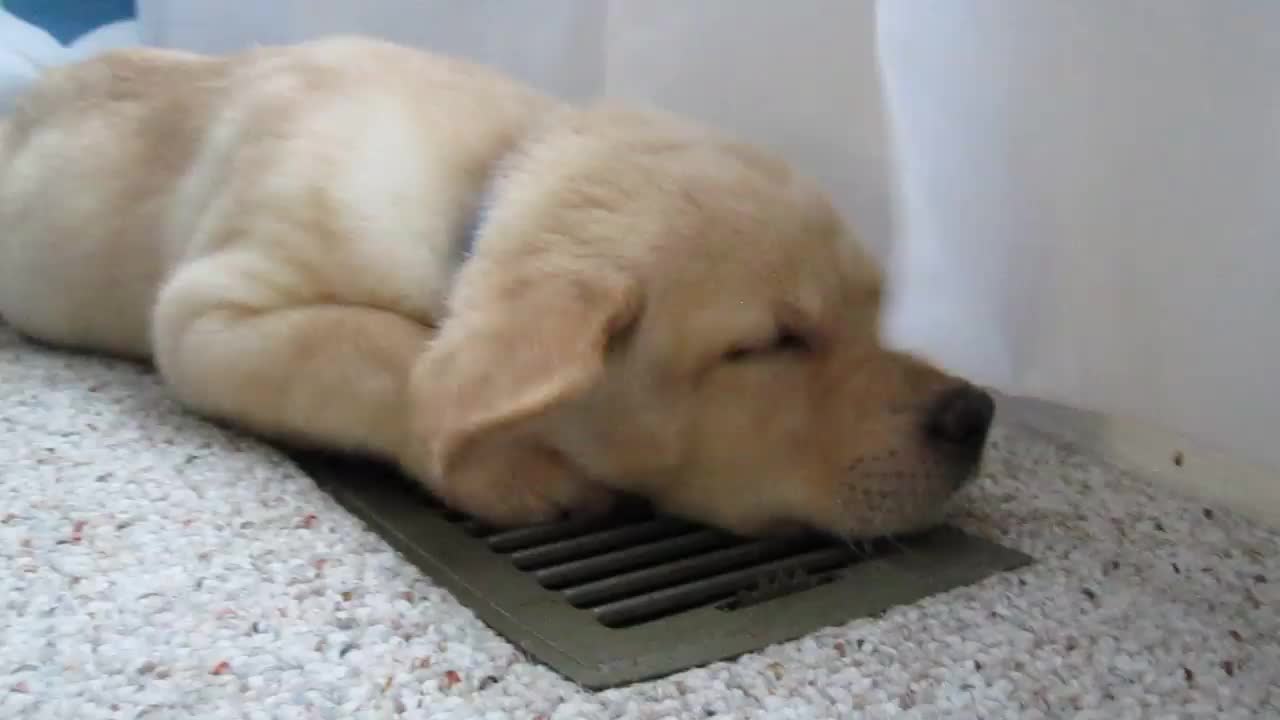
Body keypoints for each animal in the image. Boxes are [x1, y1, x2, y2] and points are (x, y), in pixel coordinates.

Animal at [0, 33, 998, 538]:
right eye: (771, 345)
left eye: (876, 311)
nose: (975, 412)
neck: (478, 183)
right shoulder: (209, 310)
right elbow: (390, 351)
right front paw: (515, 469)